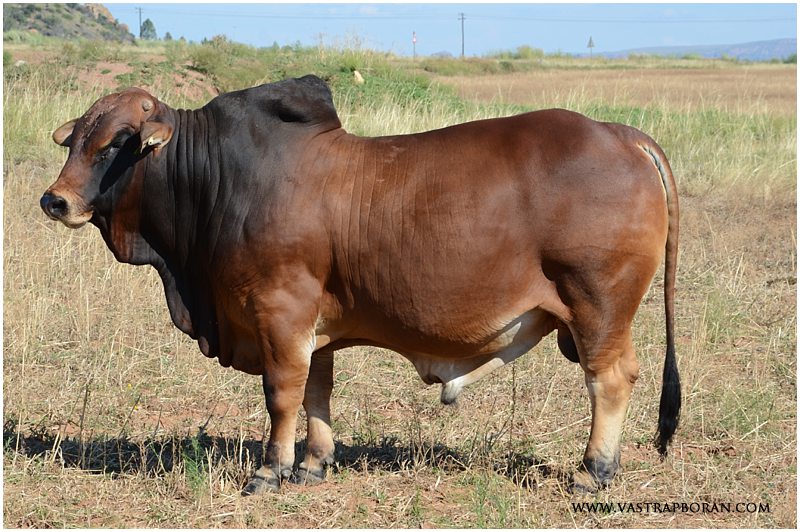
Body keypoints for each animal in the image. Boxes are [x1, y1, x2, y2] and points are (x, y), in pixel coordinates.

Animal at [41, 75, 680, 495]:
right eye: (76, 141)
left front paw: (270, 470)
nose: (55, 200)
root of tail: (619, 133)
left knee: (610, 380)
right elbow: (317, 394)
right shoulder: (314, 329)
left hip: (598, 308)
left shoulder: (280, 313)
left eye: (115, 143)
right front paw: (313, 464)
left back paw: (593, 471)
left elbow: (282, 395)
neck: (215, 177)